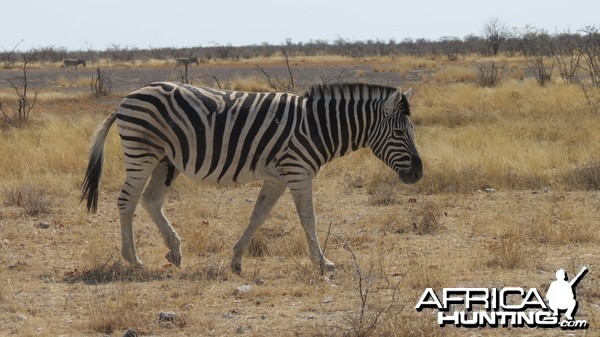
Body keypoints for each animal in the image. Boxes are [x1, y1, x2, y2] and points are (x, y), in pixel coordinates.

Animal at [82, 82, 424, 272]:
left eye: (412, 131)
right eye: (399, 133)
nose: (419, 173)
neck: (317, 127)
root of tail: (129, 96)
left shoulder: (278, 177)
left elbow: (258, 215)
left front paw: (236, 259)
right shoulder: (298, 172)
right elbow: (309, 219)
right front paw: (323, 263)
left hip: (164, 160)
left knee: (151, 200)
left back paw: (175, 250)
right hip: (142, 153)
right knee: (127, 202)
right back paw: (133, 259)